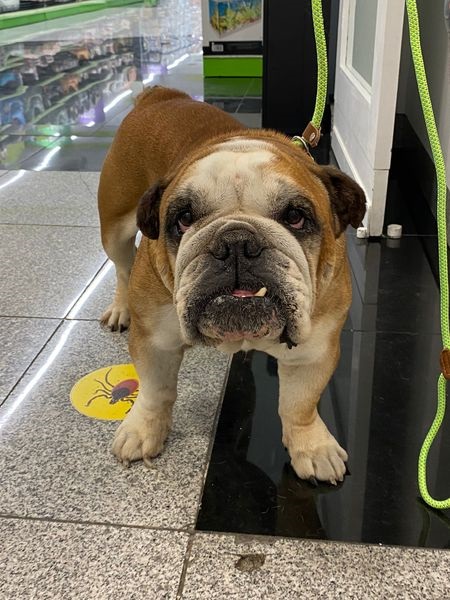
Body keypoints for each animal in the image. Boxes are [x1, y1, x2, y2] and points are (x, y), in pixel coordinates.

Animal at [98, 86, 366, 484]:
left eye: (295, 217)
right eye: (184, 218)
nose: (237, 241)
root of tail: (159, 94)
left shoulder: (314, 349)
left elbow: (299, 404)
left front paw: (313, 447)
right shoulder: (155, 340)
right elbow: (155, 391)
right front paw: (143, 429)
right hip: (115, 224)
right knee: (120, 266)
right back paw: (120, 308)